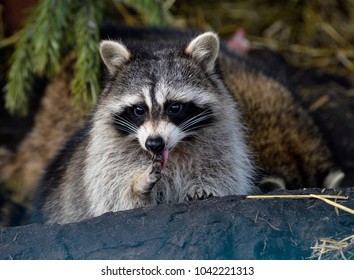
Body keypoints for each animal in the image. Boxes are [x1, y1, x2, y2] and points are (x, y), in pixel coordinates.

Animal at [34, 31, 256, 224]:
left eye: (174, 107)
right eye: (139, 109)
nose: (154, 143)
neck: (174, 151)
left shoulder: (220, 144)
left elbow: (225, 175)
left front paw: (205, 185)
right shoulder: (104, 163)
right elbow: (116, 200)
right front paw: (137, 185)